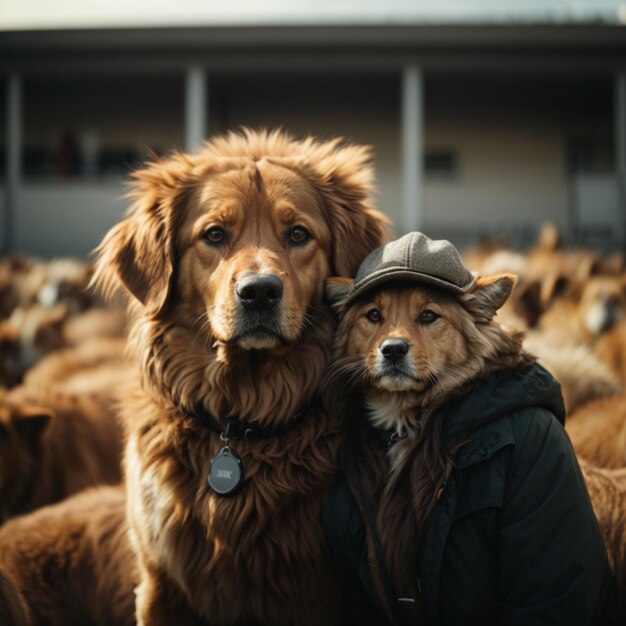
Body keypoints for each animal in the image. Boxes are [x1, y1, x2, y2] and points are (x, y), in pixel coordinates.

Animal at [92, 129, 388, 620]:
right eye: (214, 234)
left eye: (298, 234)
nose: (260, 292)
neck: (242, 419)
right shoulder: (161, 581)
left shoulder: (314, 594)